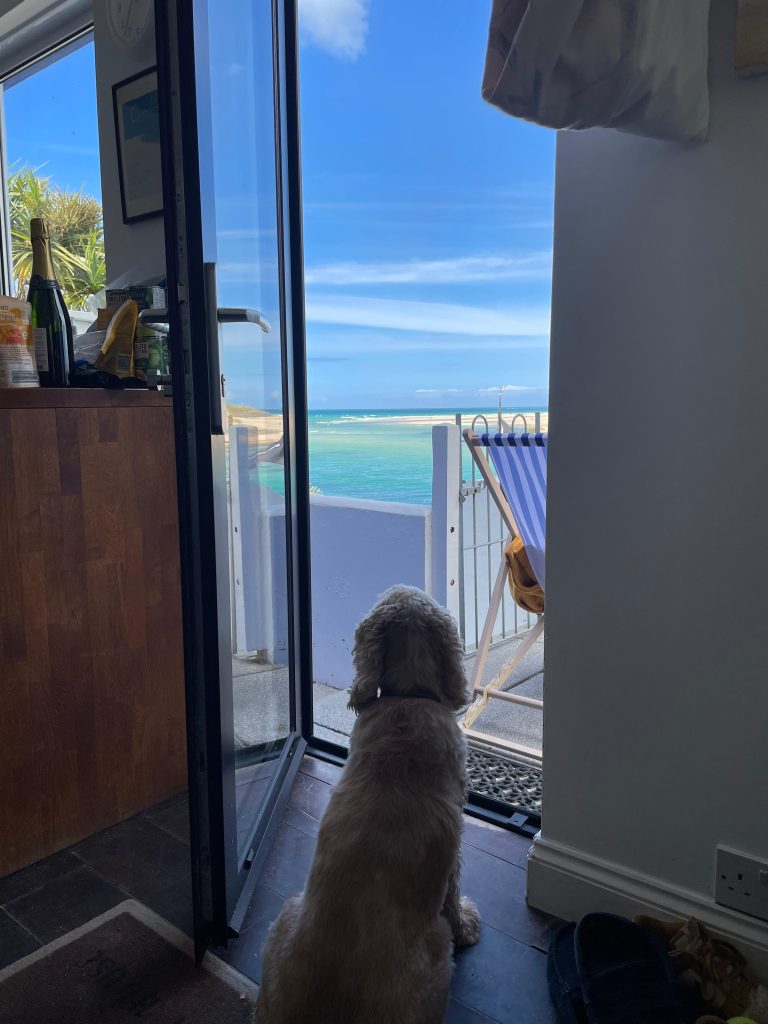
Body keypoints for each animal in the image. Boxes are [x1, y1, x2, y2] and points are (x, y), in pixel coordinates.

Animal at [259, 585, 481, 1024]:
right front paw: (467, 925)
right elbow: (453, 893)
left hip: (286, 915)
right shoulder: (453, 851)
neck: (408, 698)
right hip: (436, 958)